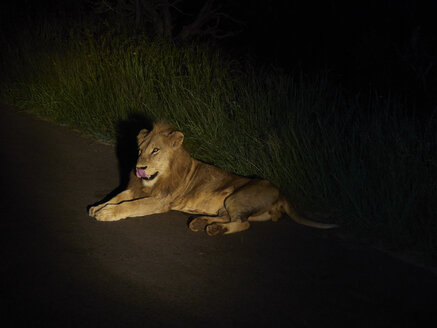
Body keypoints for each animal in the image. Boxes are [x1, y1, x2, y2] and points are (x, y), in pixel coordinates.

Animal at [87, 121, 336, 234]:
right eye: (140, 150)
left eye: (155, 150)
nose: (139, 168)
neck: (156, 179)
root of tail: (281, 193)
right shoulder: (137, 188)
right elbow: (118, 196)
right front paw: (98, 206)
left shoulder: (159, 200)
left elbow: (129, 206)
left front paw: (106, 213)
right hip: (230, 205)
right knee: (230, 217)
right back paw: (200, 222)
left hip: (236, 198)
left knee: (243, 223)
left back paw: (215, 229)